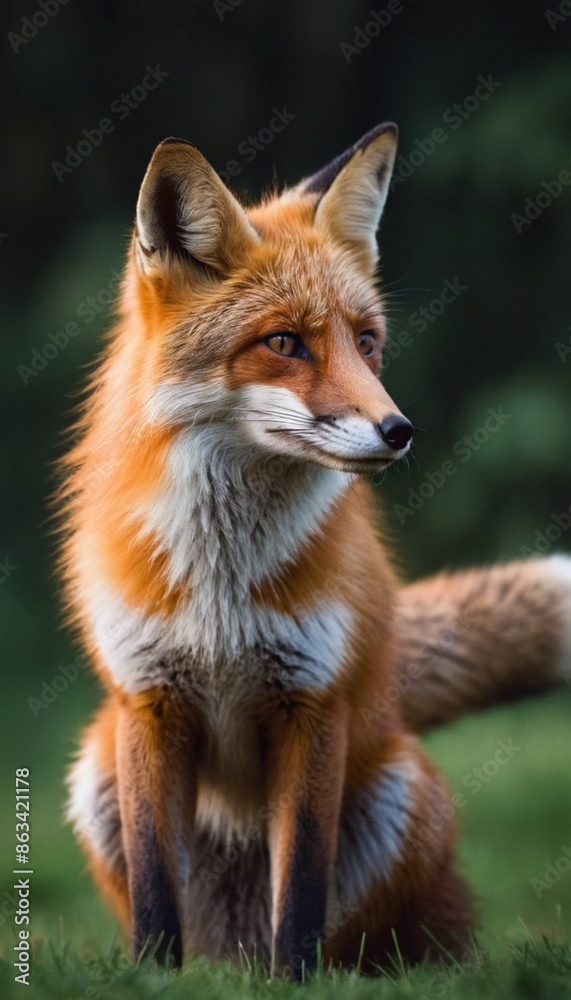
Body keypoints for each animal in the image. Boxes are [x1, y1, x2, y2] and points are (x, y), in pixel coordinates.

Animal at [62, 122, 571, 978]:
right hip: (97, 772)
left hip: (400, 795)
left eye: (365, 343)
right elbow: (157, 891)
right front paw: (151, 981)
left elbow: (300, 883)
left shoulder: (311, 703)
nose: (398, 431)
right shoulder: (148, 703)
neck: (221, 586)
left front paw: (294, 985)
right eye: (283, 343)